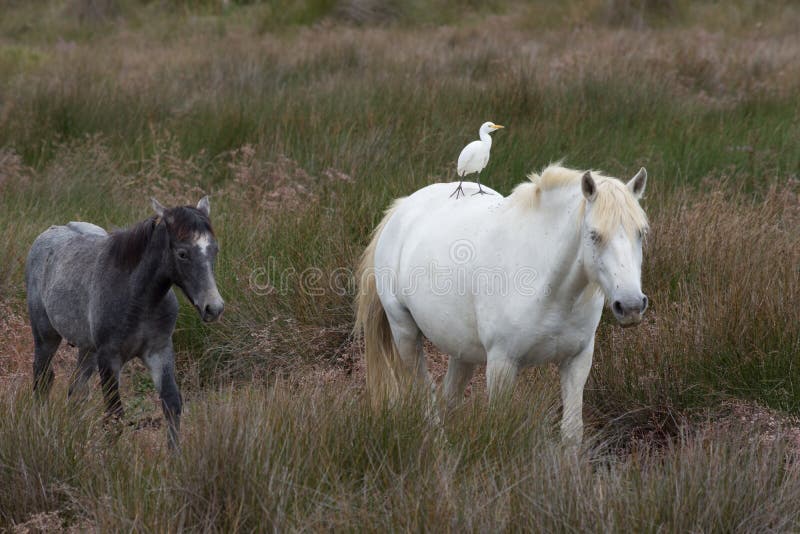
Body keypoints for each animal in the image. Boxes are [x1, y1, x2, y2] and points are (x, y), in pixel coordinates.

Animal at [25, 197, 225, 448]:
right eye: (182, 254)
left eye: (214, 249)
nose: (214, 308)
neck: (138, 298)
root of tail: (47, 234)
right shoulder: (110, 357)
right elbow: (115, 415)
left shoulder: (159, 351)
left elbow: (172, 404)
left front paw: (174, 454)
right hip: (46, 337)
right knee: (42, 379)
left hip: (88, 350)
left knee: (76, 390)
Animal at [356, 166, 648, 444]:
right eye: (594, 235)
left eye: (641, 233)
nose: (631, 305)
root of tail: (402, 209)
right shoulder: (502, 363)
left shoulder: (577, 360)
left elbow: (572, 432)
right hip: (404, 334)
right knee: (425, 393)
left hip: (462, 350)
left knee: (449, 397)